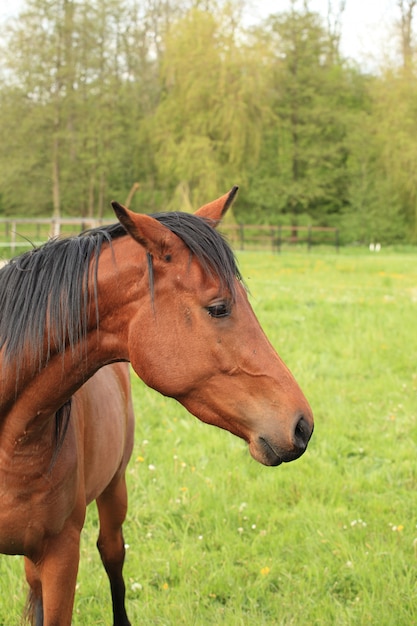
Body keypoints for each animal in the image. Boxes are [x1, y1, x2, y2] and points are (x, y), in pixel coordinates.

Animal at [0, 186, 312, 624]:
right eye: (219, 307)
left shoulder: (60, 556)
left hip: (114, 490)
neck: (13, 443)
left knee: (112, 556)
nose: (302, 424)